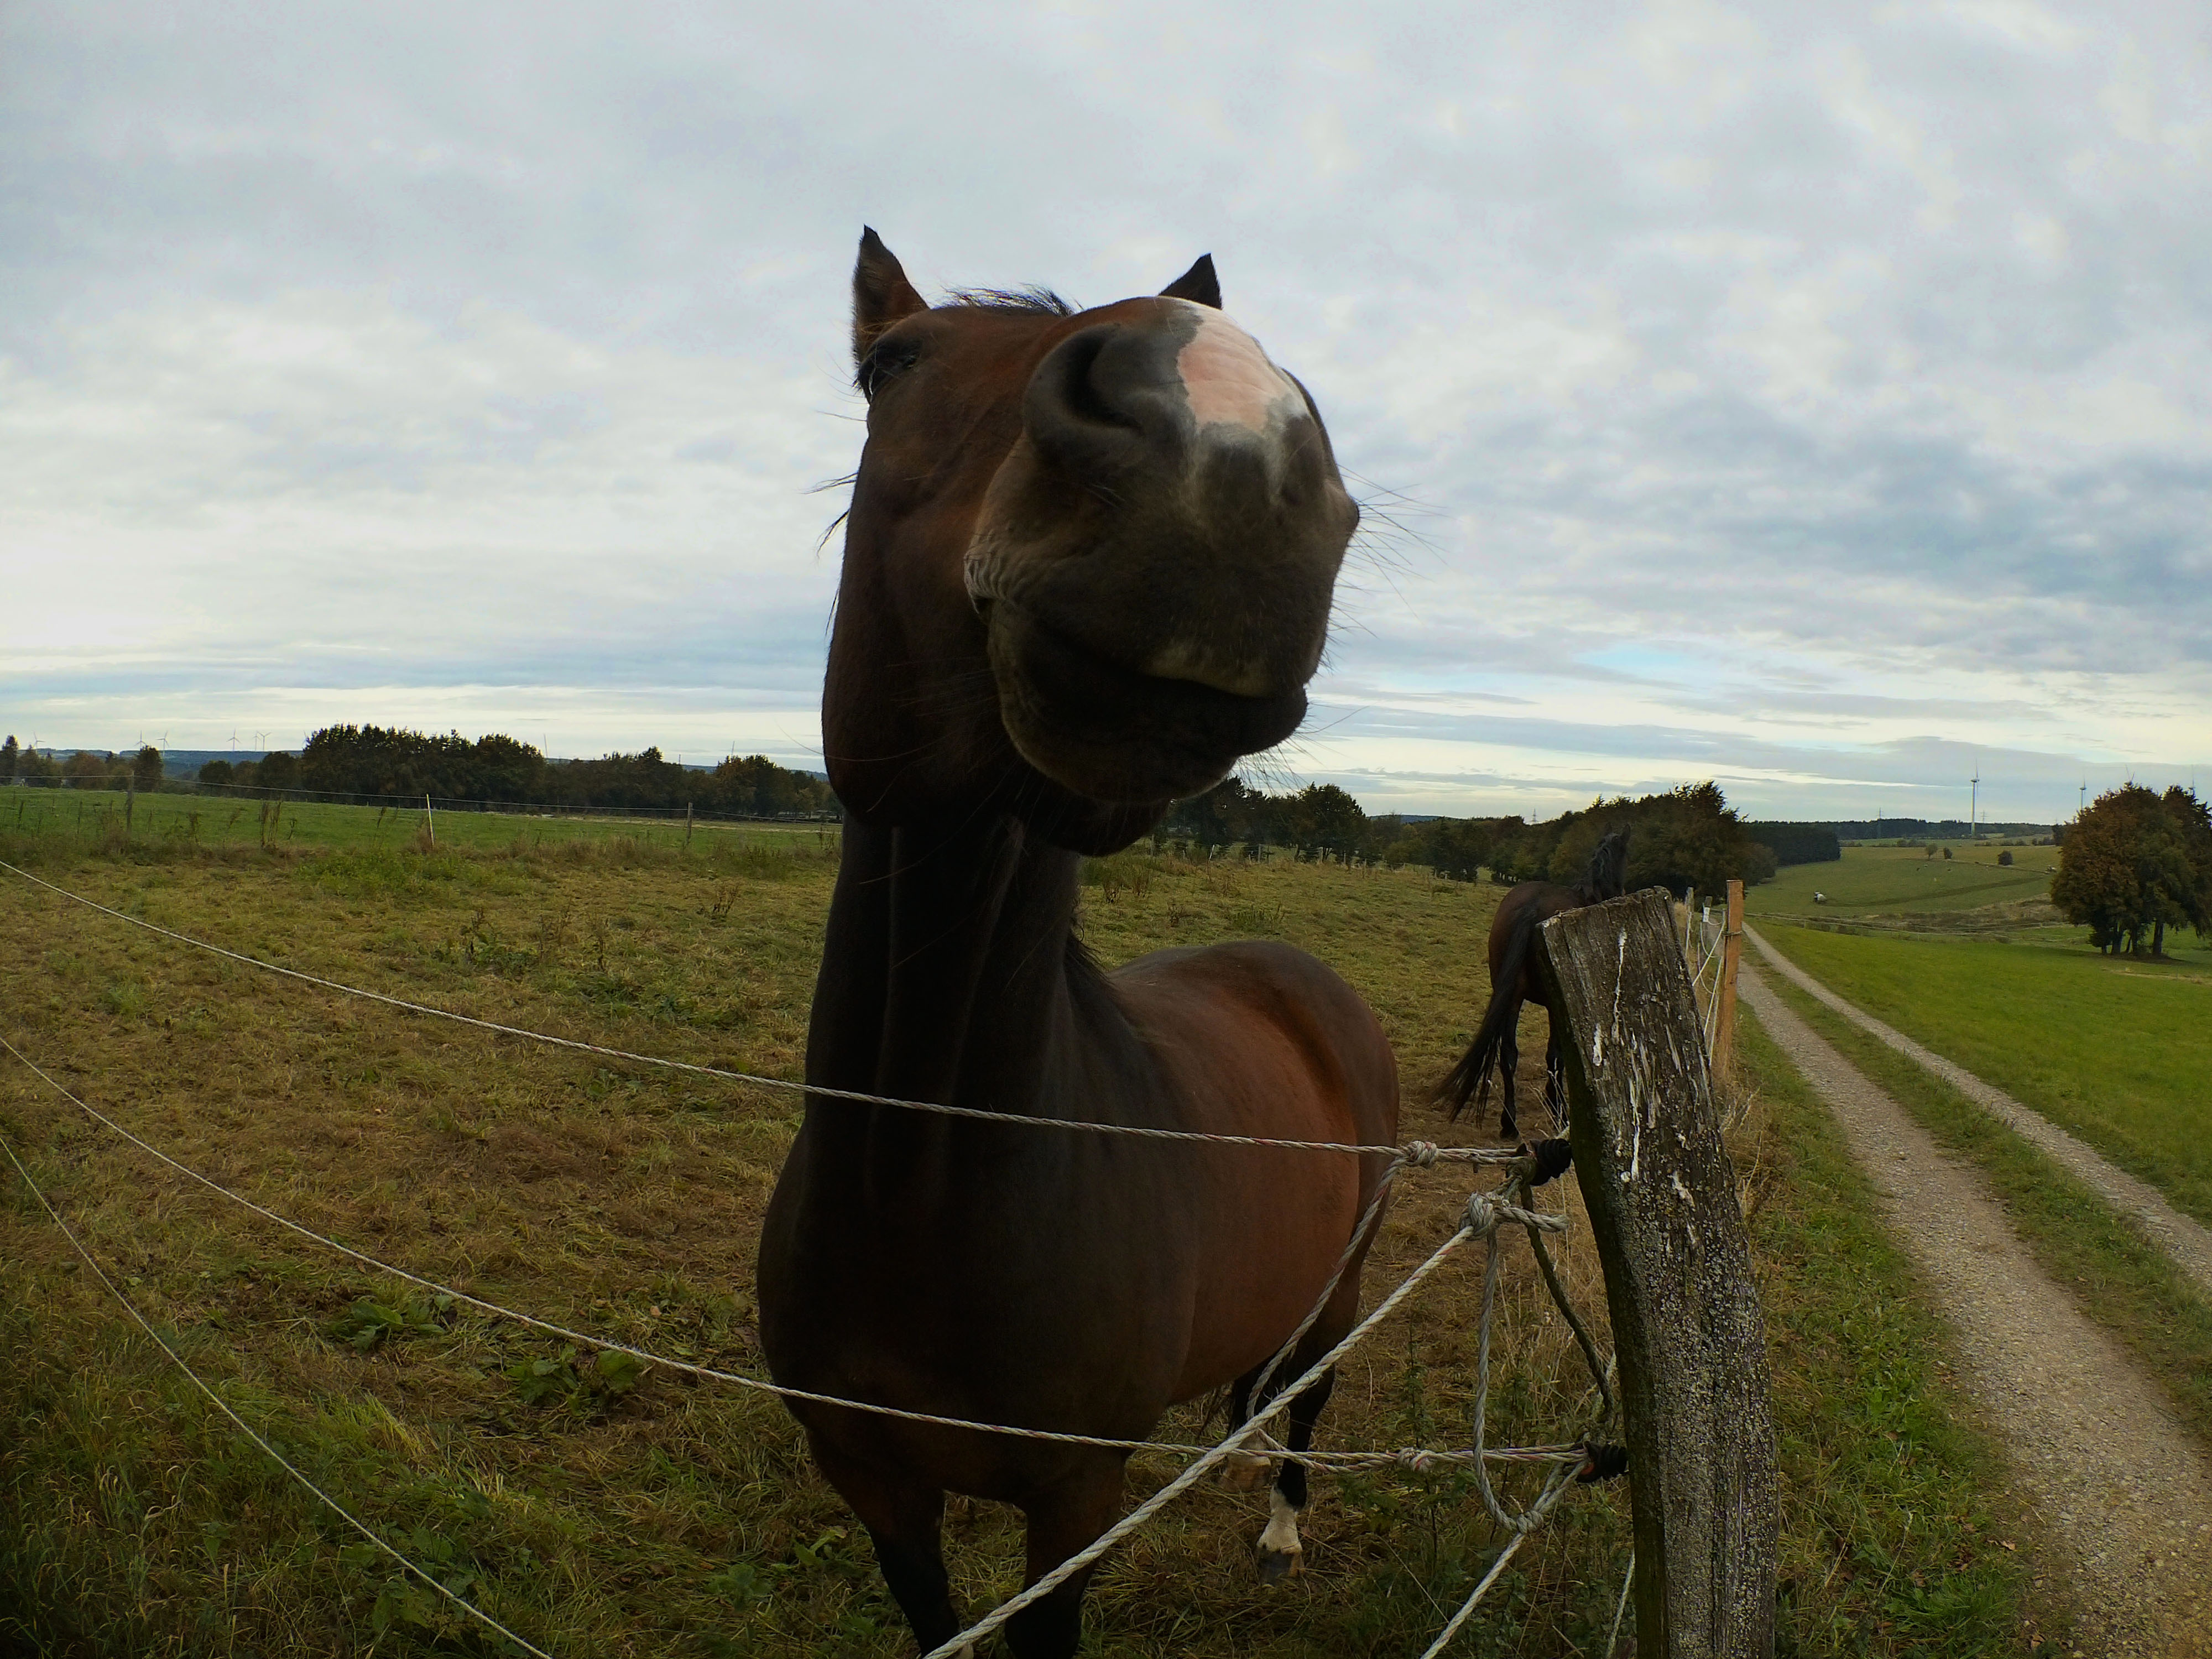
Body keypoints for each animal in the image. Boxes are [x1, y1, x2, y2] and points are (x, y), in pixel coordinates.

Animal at [756, 232, 1399, 1659]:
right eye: (889, 366)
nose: (1228, 430)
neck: (922, 1185)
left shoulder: (1070, 1501)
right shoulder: (871, 1480)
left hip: (1341, 1287)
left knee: (1311, 1394)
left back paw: (1280, 1526)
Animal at [1434, 829, 1630, 1141]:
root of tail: (1531, 906)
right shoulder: (1559, 1006)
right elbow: (1557, 1057)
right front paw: (1557, 1106)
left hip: (1512, 998)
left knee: (1508, 1055)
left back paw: (1509, 1123)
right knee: (1549, 1056)